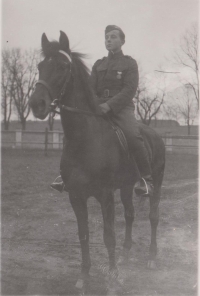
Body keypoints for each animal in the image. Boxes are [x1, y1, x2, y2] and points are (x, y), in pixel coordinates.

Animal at [28, 31, 165, 292]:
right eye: (40, 66)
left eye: (62, 67)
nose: (36, 105)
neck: (85, 139)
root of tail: (154, 134)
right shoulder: (76, 196)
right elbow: (83, 234)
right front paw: (84, 276)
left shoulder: (105, 195)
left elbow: (108, 236)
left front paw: (112, 278)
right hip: (126, 187)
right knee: (130, 215)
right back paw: (125, 255)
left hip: (157, 184)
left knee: (153, 217)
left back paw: (152, 258)